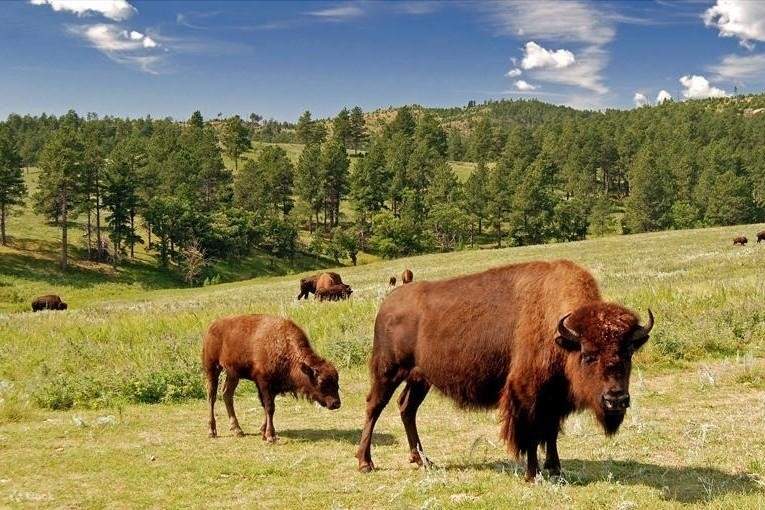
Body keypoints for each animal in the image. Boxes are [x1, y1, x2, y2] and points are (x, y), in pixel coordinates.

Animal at [202, 314, 341, 441]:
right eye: (321, 382)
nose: (336, 403)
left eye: (337, 382)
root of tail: (212, 326)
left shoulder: (272, 387)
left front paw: (263, 431)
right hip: (212, 368)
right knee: (212, 397)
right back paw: (212, 431)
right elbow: (269, 407)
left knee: (227, 394)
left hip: (233, 374)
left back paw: (237, 430)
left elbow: (267, 407)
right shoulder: (264, 383)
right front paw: (270, 436)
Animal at [356, 260, 654, 481]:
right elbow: (531, 433)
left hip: (420, 378)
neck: (560, 333)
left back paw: (422, 460)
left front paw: (555, 468)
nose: (616, 399)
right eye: (588, 355)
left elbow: (551, 432)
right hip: (388, 371)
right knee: (374, 406)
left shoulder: (554, 397)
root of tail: (388, 302)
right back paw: (365, 463)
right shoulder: (526, 394)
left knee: (407, 408)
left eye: (628, 352)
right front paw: (532, 474)